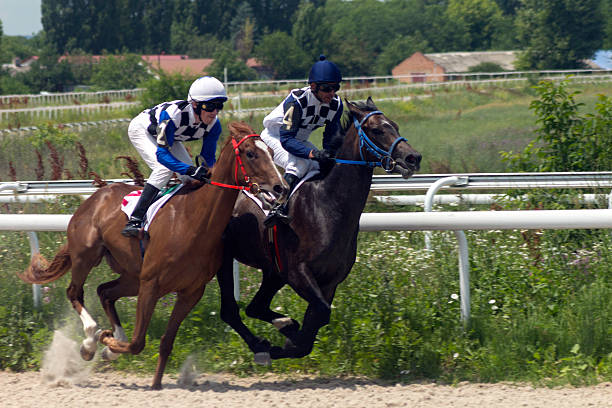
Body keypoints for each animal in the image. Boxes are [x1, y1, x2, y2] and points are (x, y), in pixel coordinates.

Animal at [19, 122, 286, 390]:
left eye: (272, 152)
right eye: (251, 153)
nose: (280, 187)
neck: (194, 221)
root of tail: (94, 198)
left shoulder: (190, 292)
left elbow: (166, 341)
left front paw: (152, 380)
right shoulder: (151, 284)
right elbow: (138, 342)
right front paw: (106, 342)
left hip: (131, 275)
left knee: (105, 292)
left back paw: (107, 340)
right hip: (87, 256)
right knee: (75, 293)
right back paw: (89, 343)